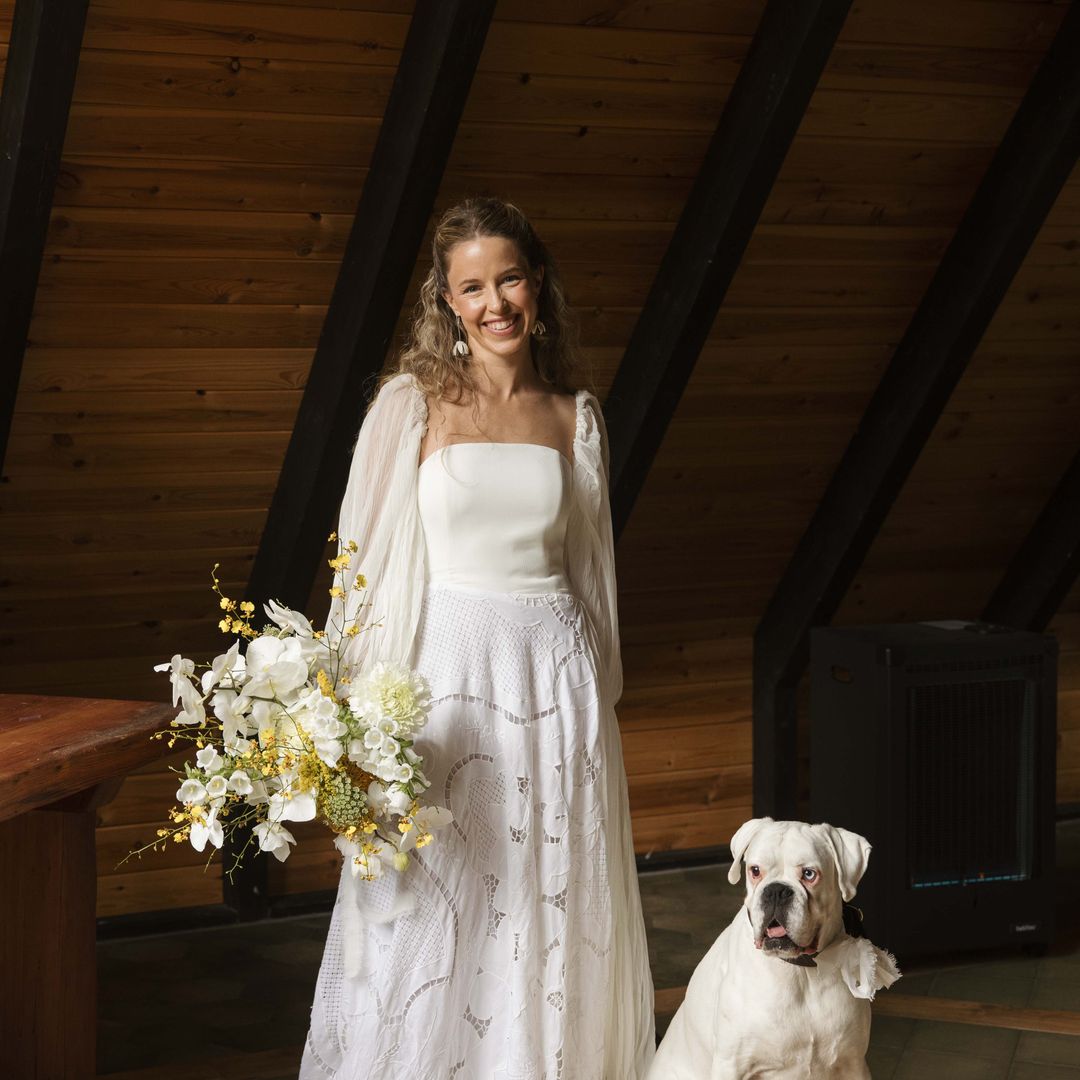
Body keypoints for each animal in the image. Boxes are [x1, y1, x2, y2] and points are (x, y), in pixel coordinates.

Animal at [648, 816, 902, 1080]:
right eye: (755, 871)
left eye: (809, 874)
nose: (776, 890)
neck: (802, 970)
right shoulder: (731, 1065)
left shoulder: (852, 1063)